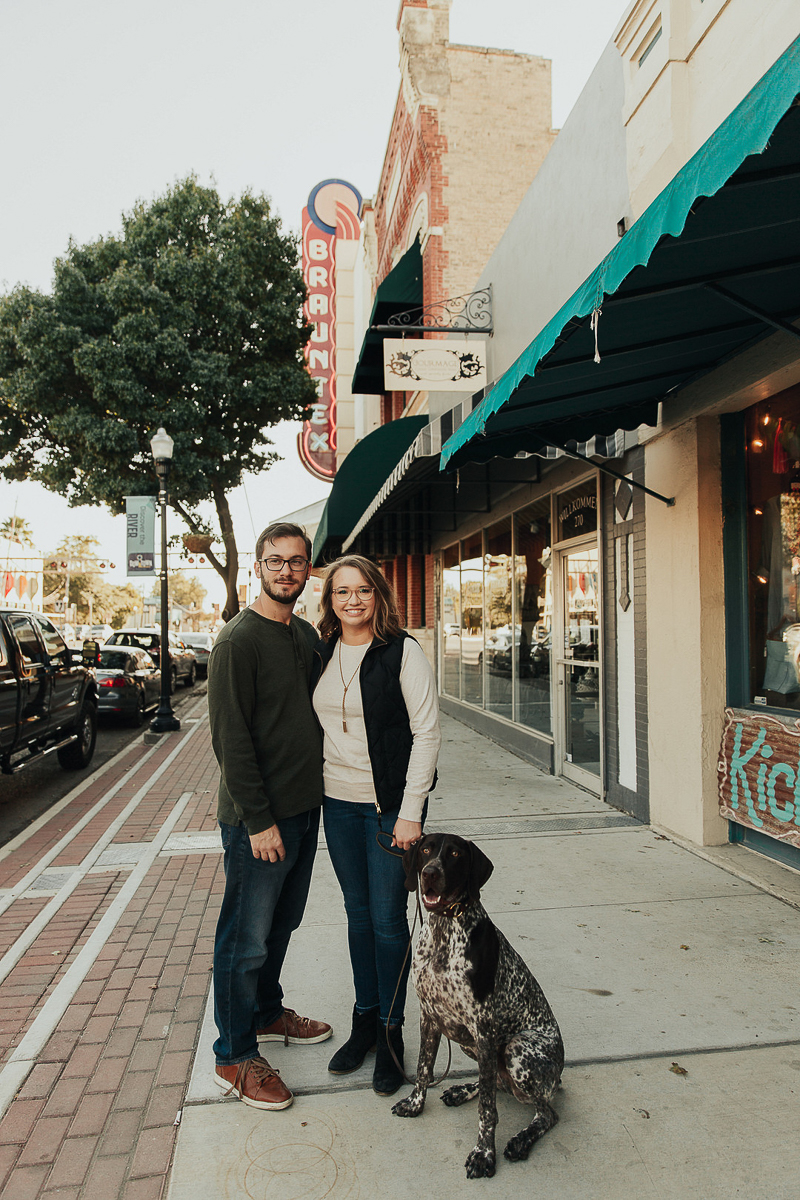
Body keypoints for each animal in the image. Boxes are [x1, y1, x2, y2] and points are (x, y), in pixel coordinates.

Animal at [393, 835, 563, 1180]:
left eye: (455, 854)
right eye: (426, 850)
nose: (429, 873)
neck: (444, 930)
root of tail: (560, 1073)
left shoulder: (484, 1027)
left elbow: (488, 1109)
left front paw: (484, 1154)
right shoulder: (430, 1017)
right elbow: (423, 1068)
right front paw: (415, 1103)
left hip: (515, 1048)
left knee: (545, 1112)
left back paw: (521, 1140)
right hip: (467, 1041)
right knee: (494, 1081)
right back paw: (461, 1091)